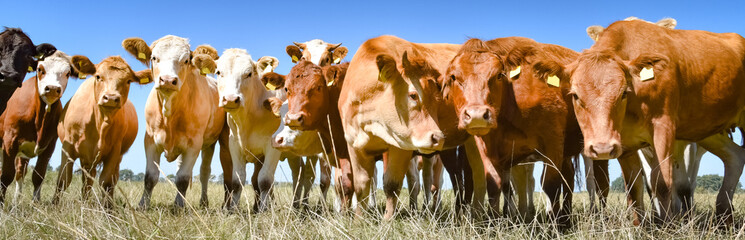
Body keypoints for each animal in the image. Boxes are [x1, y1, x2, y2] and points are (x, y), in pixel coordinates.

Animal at [52, 55, 150, 207]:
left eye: (128, 81)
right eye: (98, 76)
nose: (110, 98)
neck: (99, 123)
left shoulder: (114, 151)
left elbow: (107, 182)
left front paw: (107, 209)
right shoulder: (68, 147)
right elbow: (63, 179)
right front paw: (54, 205)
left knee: (109, 180)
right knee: (87, 181)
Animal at [442, 37, 580, 223]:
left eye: (499, 75)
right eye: (454, 77)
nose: (477, 115)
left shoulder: (553, 141)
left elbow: (550, 185)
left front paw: (552, 225)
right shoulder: (487, 148)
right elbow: (494, 185)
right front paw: (493, 222)